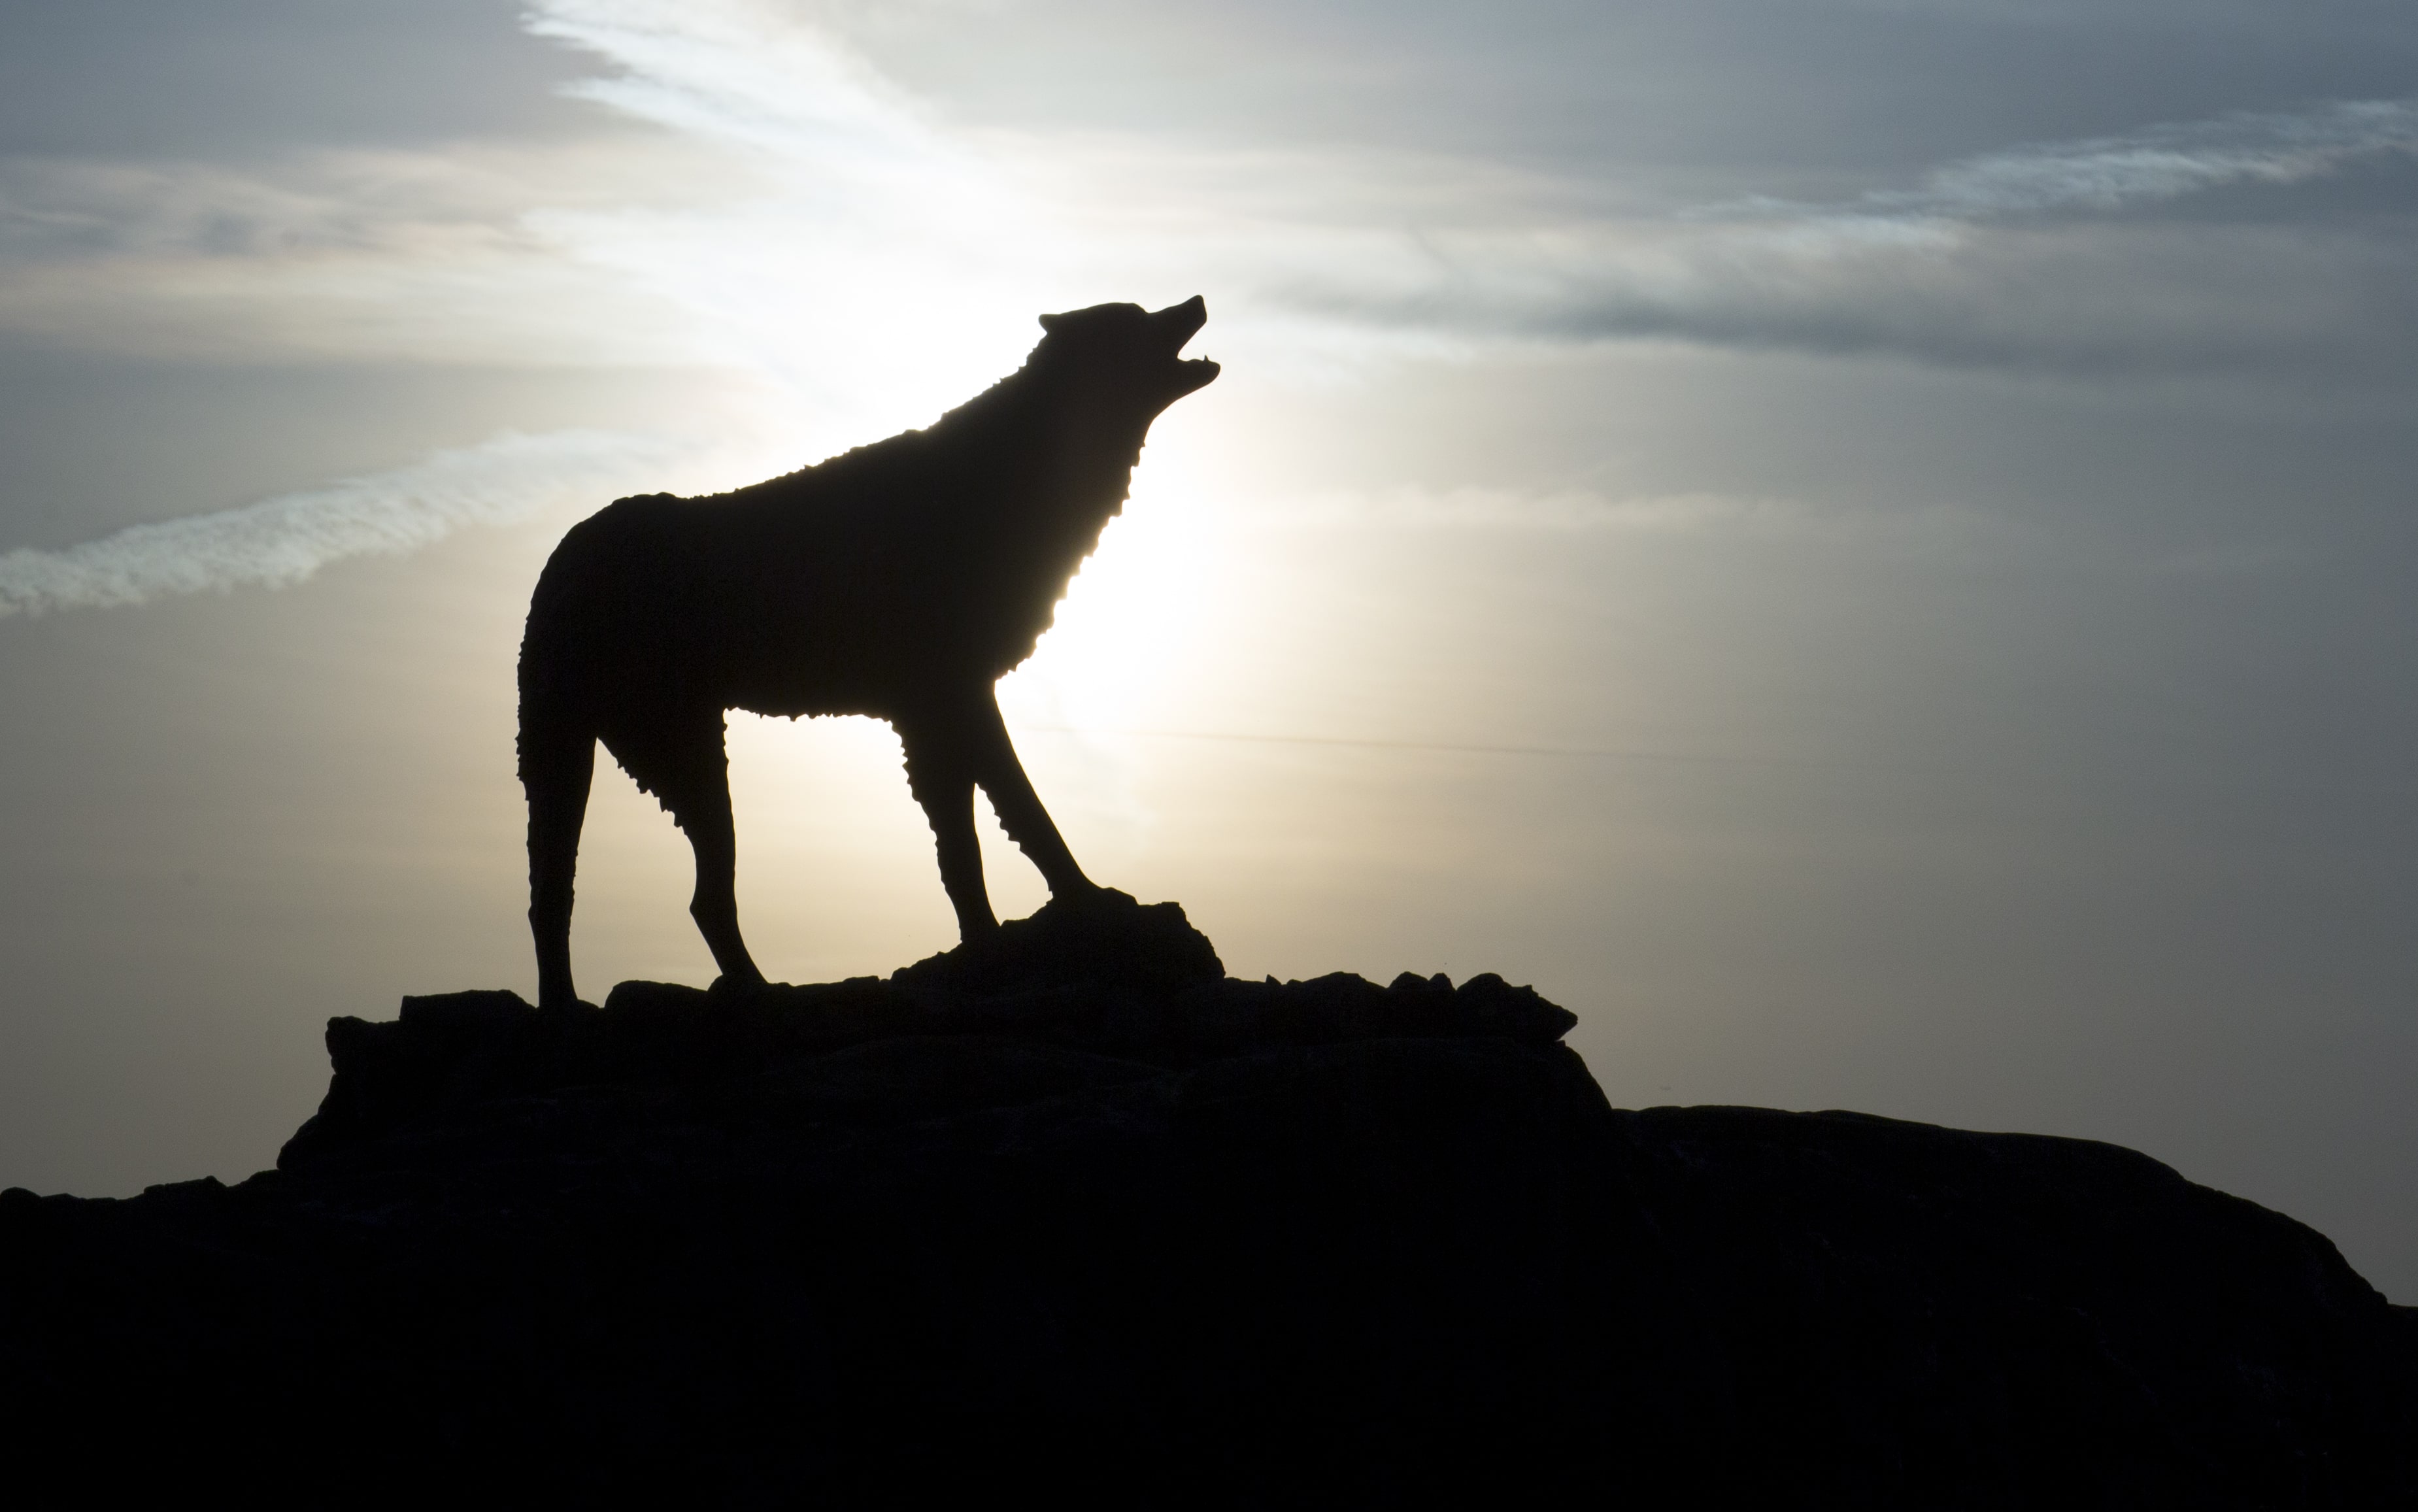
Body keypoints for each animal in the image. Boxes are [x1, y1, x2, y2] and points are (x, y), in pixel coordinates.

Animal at [517, 297, 1218, 1001]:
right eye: (1134, 318)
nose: (1196, 301)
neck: (1012, 474)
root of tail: (559, 564)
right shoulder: (952, 697)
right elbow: (1016, 819)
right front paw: (1070, 907)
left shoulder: (935, 710)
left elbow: (973, 840)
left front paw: (998, 935)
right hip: (680, 754)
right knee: (686, 897)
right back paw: (750, 991)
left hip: (592, 756)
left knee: (568, 895)